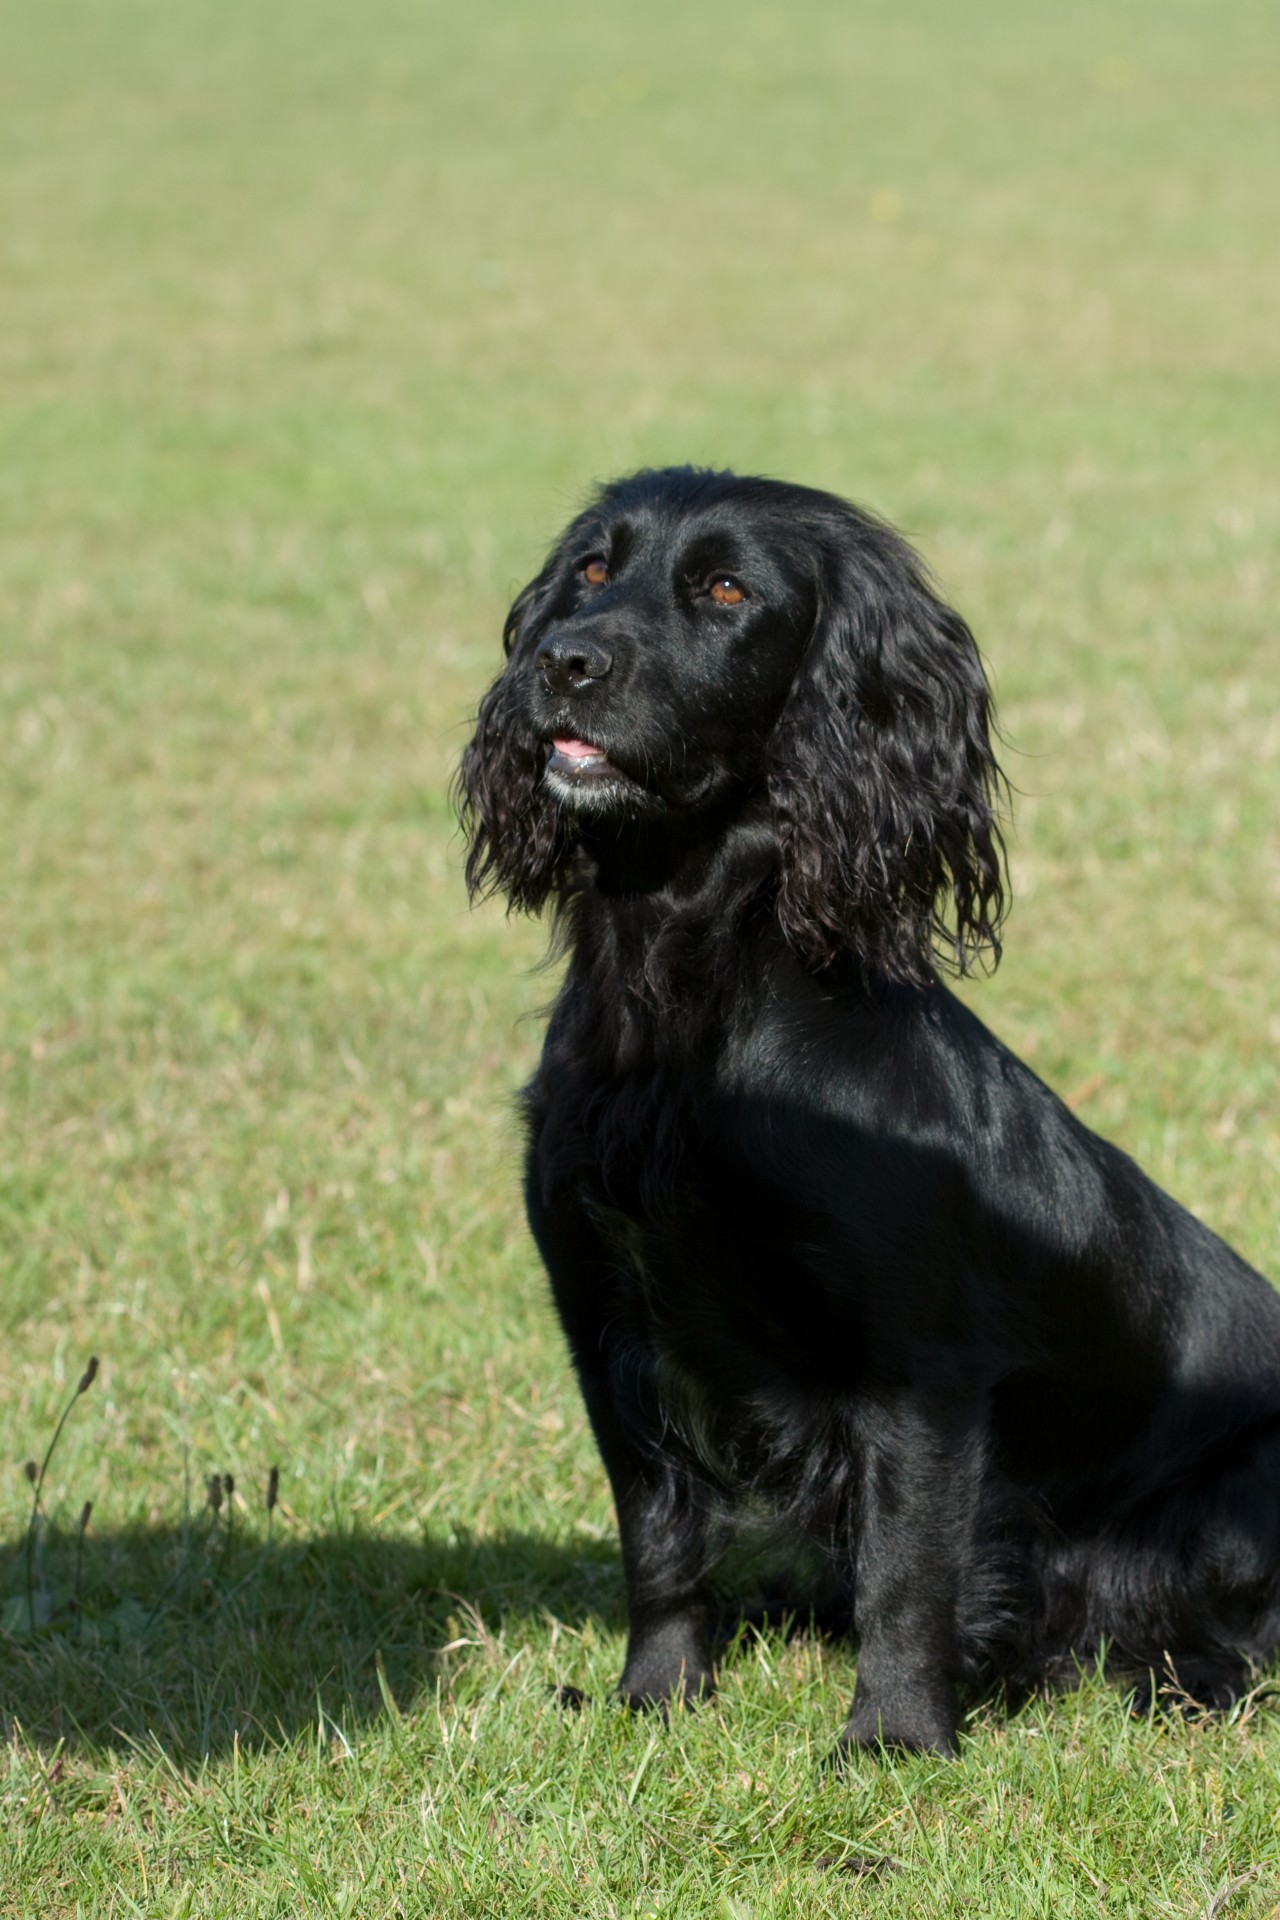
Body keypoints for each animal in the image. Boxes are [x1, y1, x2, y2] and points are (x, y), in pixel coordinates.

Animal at [460, 468, 1280, 1758]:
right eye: (590, 570)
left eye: (726, 591)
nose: (561, 660)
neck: (688, 1005)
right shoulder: (604, 1317)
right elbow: (658, 1540)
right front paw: (658, 1699)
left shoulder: (919, 1363)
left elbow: (906, 1566)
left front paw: (891, 1741)